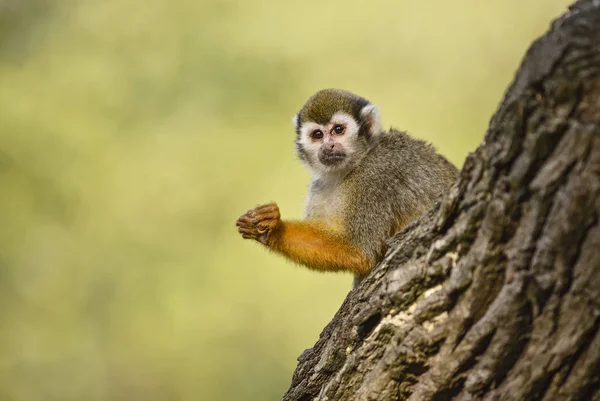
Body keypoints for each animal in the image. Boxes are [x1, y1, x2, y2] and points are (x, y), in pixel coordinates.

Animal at [237, 90, 458, 284]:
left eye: (338, 130)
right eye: (317, 134)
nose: (328, 146)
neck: (352, 167)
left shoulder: (373, 178)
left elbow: (360, 251)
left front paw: (277, 228)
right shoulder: (318, 188)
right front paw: (267, 229)